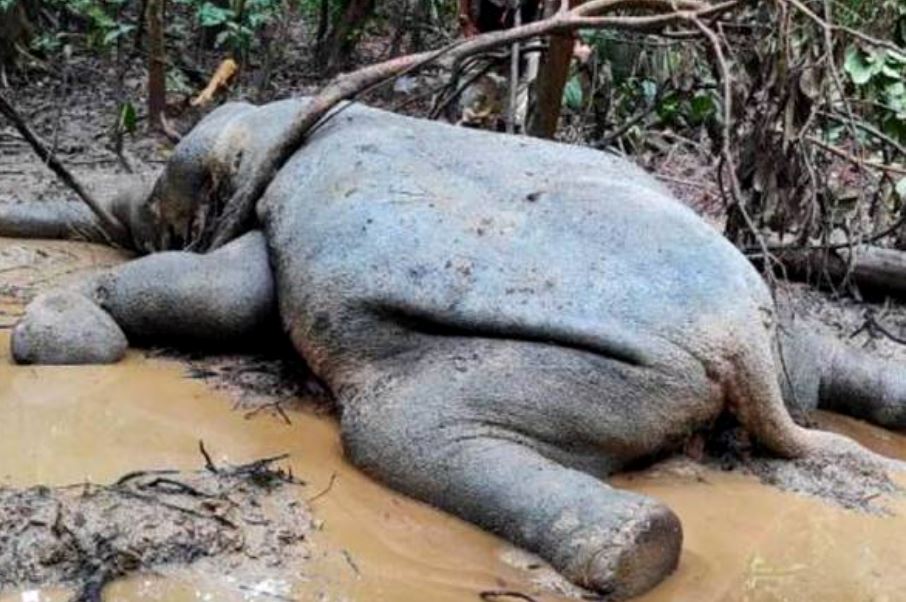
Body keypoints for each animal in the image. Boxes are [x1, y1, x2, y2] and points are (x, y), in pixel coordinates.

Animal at [4, 98, 906, 600]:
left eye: (155, 204)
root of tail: (738, 343)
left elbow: (215, 296)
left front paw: (56, 336)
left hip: (607, 371)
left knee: (402, 430)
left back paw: (636, 550)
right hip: (769, 334)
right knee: (824, 357)